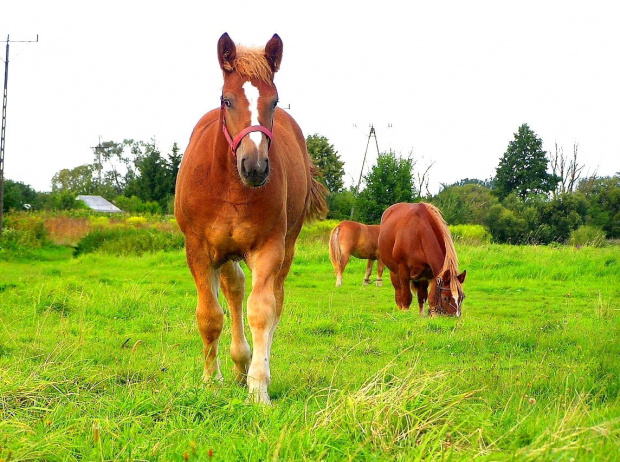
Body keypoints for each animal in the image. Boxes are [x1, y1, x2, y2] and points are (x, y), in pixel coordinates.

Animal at [174, 32, 326, 402]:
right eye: (226, 100)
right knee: (234, 288)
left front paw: (259, 388)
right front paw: (210, 381)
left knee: (274, 301)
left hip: (285, 246)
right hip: (225, 252)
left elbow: (262, 311)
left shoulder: (269, 247)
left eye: (274, 101)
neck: (229, 186)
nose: (254, 166)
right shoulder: (199, 249)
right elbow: (210, 316)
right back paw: (238, 362)